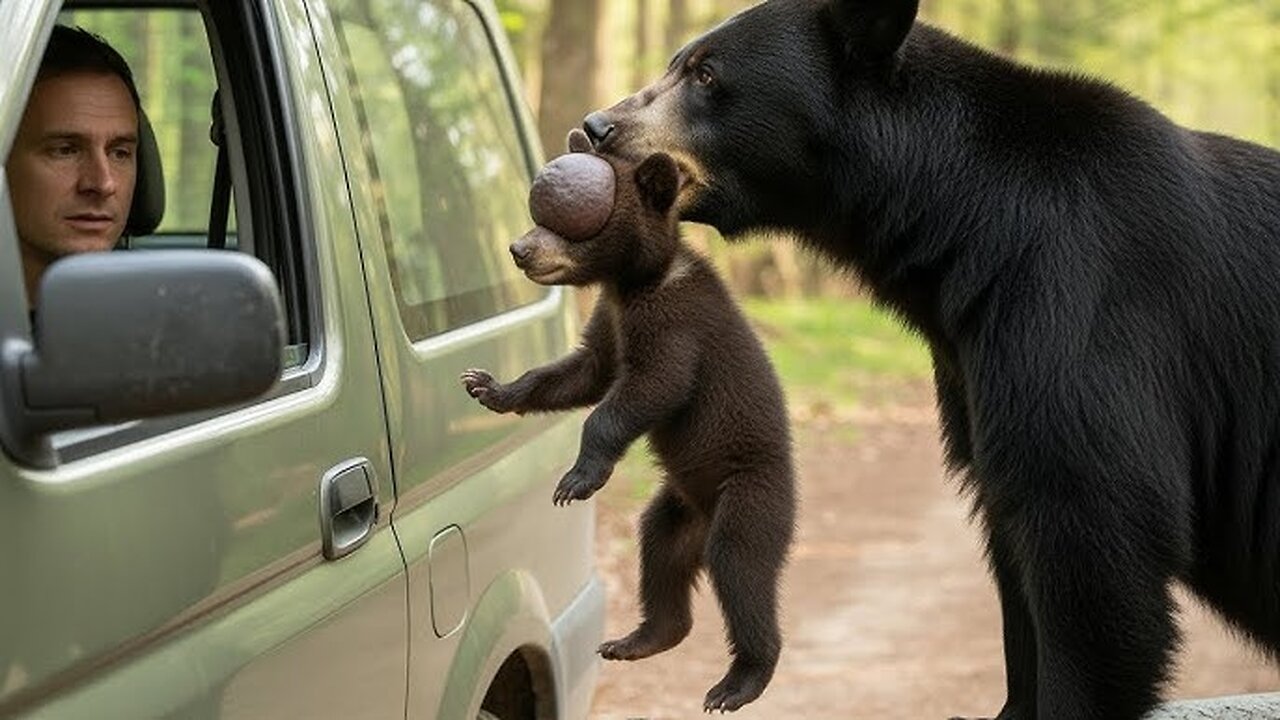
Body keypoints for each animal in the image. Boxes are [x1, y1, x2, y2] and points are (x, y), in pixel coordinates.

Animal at [460, 129, 796, 713]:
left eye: (572, 221)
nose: (520, 249)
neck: (634, 280)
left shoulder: (675, 322)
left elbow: (648, 387)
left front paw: (576, 480)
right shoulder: (610, 318)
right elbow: (583, 371)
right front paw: (488, 387)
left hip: (752, 494)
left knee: (742, 567)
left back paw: (739, 681)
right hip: (677, 510)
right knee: (658, 551)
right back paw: (638, 638)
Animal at [576, 1, 1280, 719]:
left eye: (707, 74)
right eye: (678, 63)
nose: (597, 128)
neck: (967, 226)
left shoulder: (1080, 308)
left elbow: (1092, 520)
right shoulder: (976, 362)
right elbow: (1011, 528)